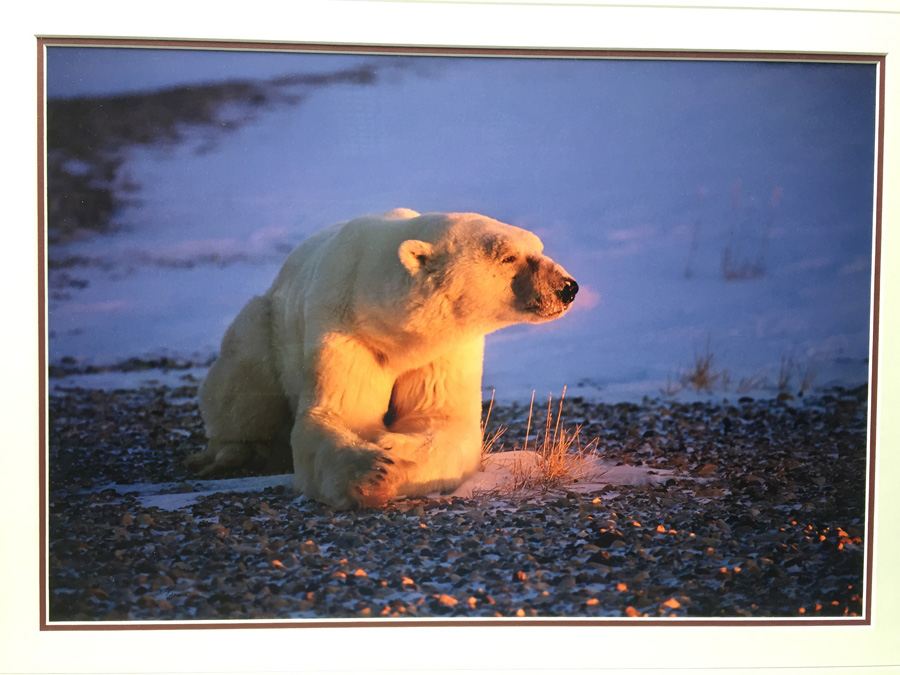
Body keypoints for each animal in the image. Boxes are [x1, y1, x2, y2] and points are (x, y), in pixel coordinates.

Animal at [187, 209, 579, 509]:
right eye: (508, 257)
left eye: (538, 247)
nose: (567, 287)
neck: (387, 322)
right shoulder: (344, 330)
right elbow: (336, 413)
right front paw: (371, 472)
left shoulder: (444, 350)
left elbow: (442, 421)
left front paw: (393, 449)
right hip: (268, 325)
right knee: (242, 378)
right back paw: (234, 453)